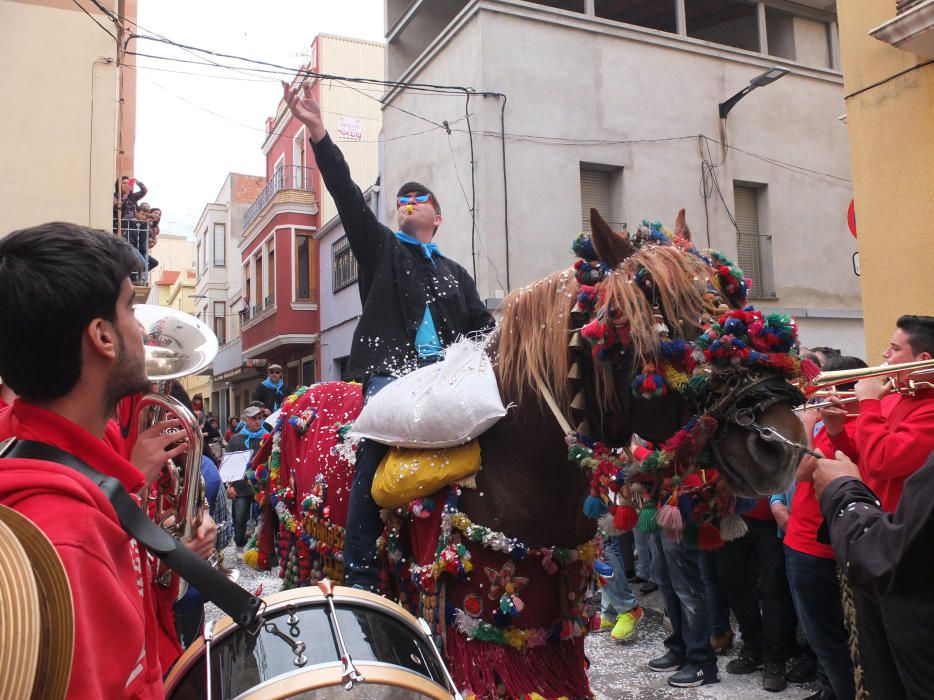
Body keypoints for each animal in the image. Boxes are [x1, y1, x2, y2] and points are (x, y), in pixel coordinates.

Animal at [247, 211, 812, 696]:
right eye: (657, 318)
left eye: (730, 296)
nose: (779, 441)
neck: (520, 457)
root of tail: (298, 398)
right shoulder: (472, 633)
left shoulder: (548, 631)